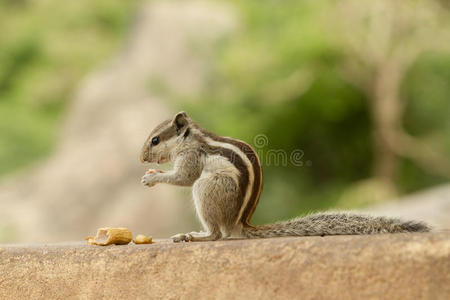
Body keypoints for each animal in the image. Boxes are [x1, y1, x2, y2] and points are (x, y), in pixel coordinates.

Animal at [141, 111, 432, 243]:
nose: (142, 159)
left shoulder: (191, 157)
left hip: (208, 188)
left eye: (155, 140)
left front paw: (152, 179)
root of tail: (240, 224)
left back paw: (194, 236)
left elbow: (184, 177)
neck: (189, 140)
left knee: (216, 234)